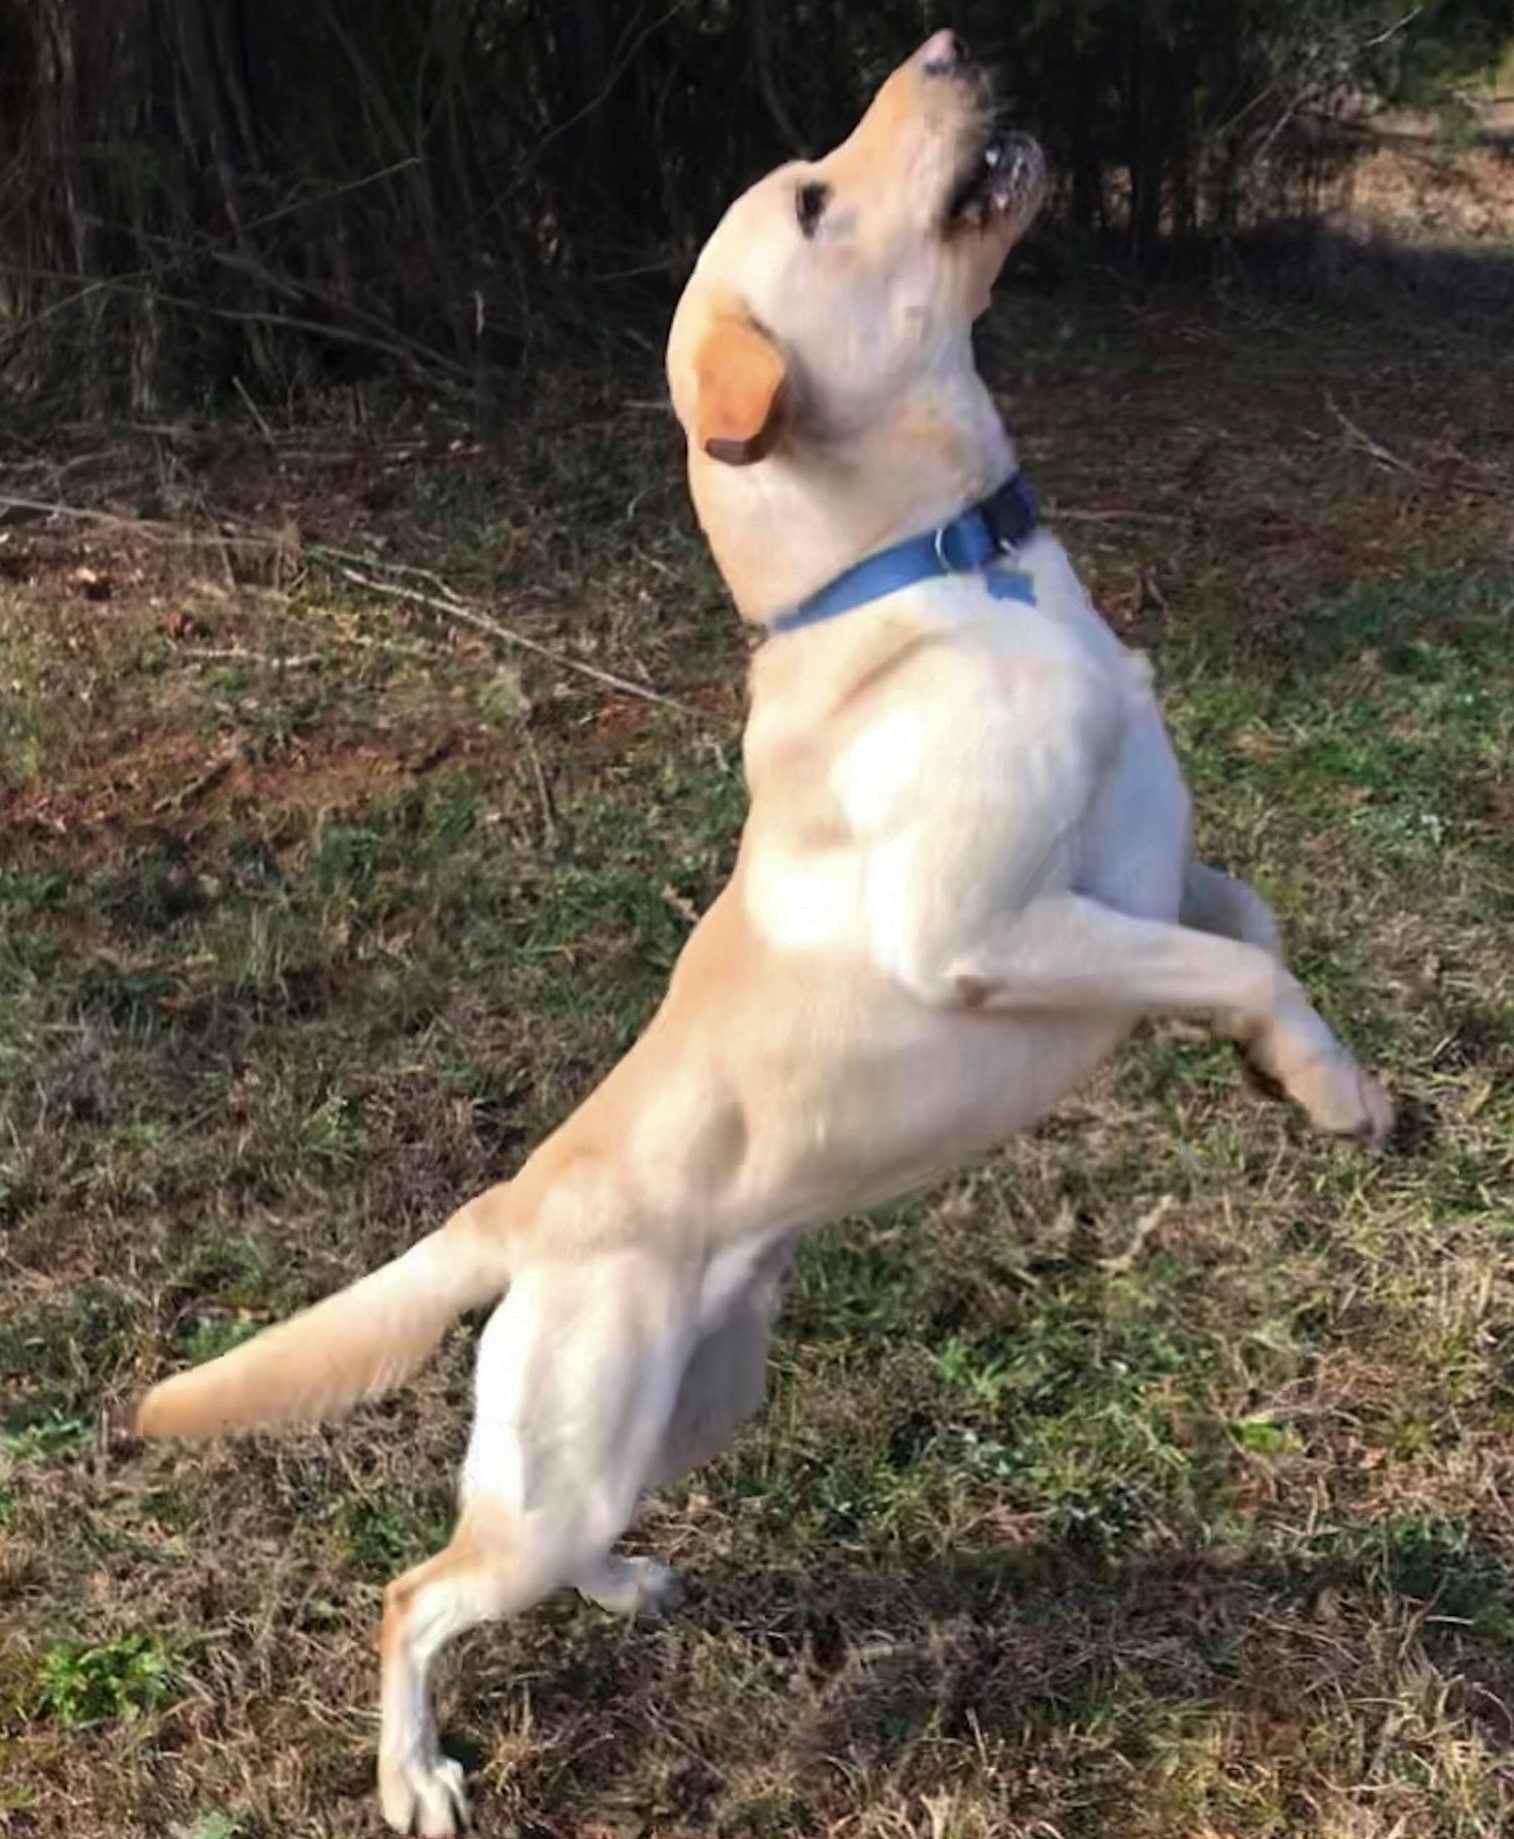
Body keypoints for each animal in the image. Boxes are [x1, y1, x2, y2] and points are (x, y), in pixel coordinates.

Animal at [133, 32, 1398, 1839]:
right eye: (810, 196)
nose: (946, 47)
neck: (943, 567)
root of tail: (508, 1203)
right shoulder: (984, 930)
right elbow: (1239, 956)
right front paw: (1333, 1089)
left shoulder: (1145, 879)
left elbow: (1252, 927)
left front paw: (1298, 1074)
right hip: (582, 1431)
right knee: (416, 1590)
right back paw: (414, 1770)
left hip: (681, 1405)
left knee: (528, 1546)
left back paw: (625, 1588)